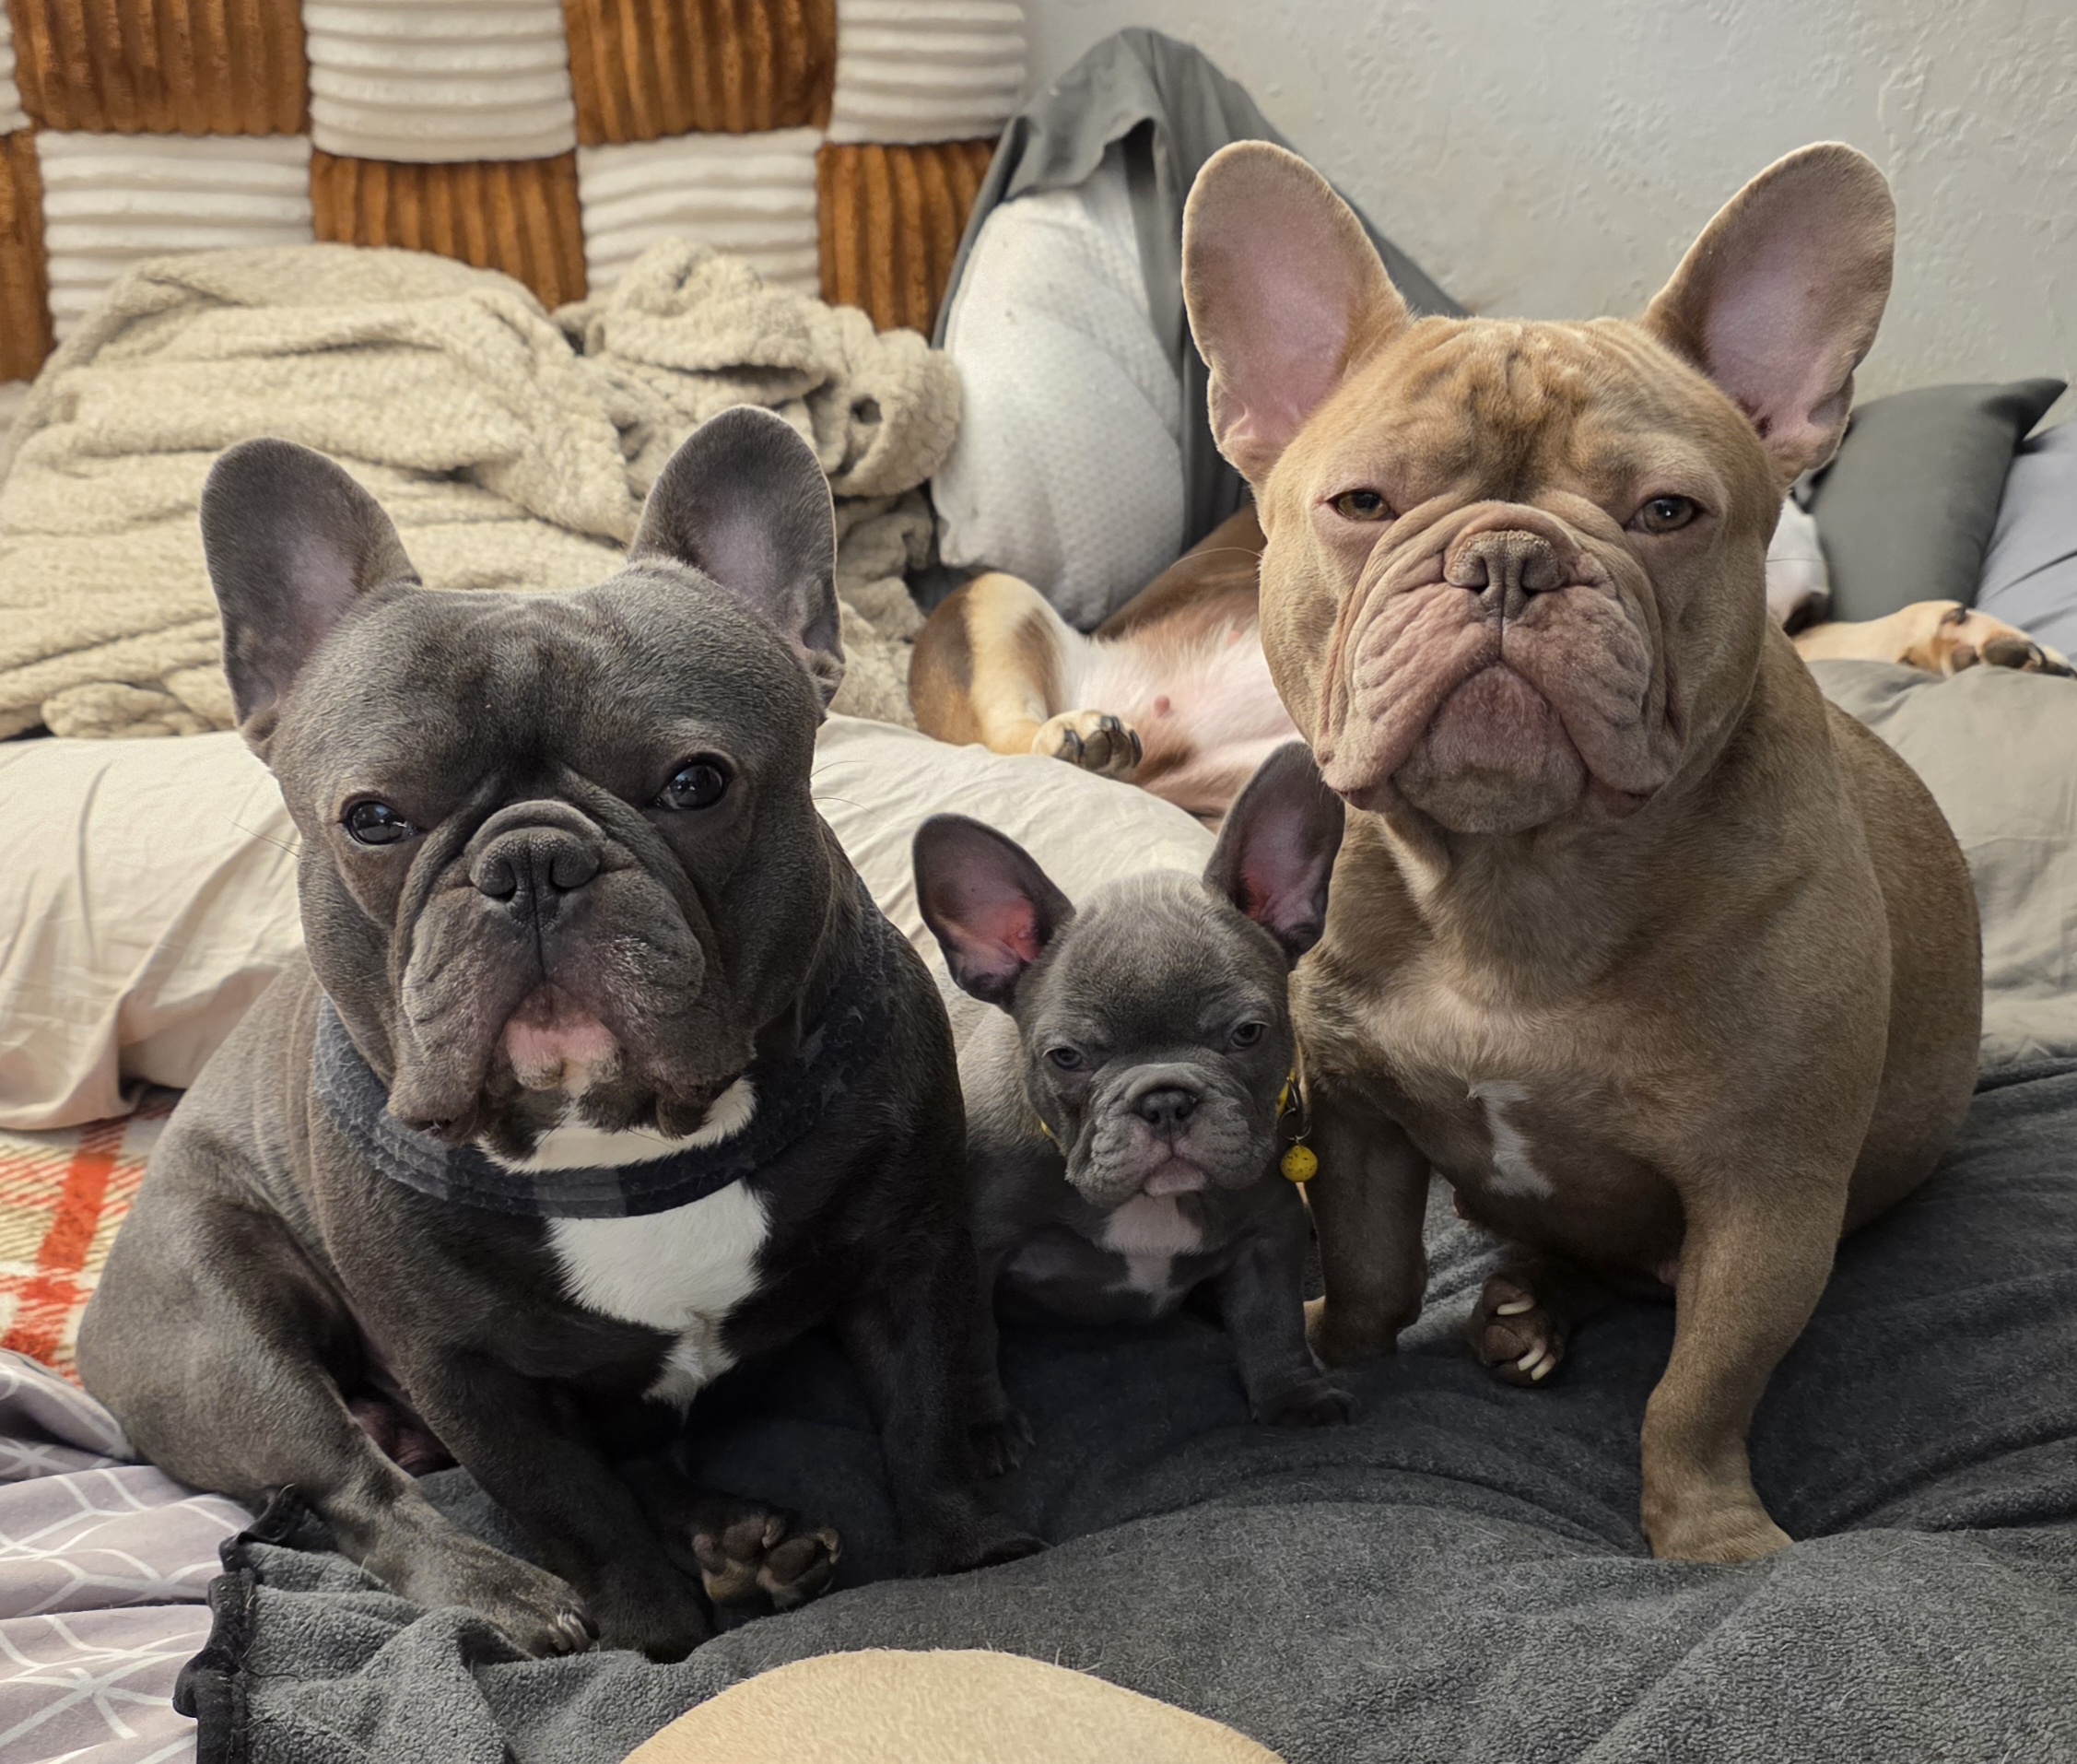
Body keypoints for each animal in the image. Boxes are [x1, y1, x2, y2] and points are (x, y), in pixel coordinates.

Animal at [77, 409, 1037, 1662]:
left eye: (696, 783)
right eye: (372, 818)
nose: (531, 861)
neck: (616, 1144)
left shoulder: (908, 1252)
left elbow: (926, 1415)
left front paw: (969, 1552)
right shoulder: (468, 1377)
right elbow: (571, 1507)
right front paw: (658, 1637)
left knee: (637, 1457)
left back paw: (742, 1542)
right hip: (217, 1331)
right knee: (357, 1483)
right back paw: (511, 1596)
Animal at [912, 741, 1353, 1430]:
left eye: (1248, 1033)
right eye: (1066, 1057)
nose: (1165, 1099)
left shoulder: (1269, 1234)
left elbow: (1271, 1320)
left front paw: (1292, 1396)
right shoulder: (976, 1251)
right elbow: (968, 1340)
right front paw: (982, 1426)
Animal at [1164, 140, 1983, 1564]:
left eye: (1666, 511)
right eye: (1361, 503)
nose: (1505, 556)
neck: (1512, 876)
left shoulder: (1765, 1202)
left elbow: (1700, 1387)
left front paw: (1710, 1538)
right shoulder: (1363, 1120)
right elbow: (1373, 1266)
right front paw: (1332, 1343)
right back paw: (1519, 1311)